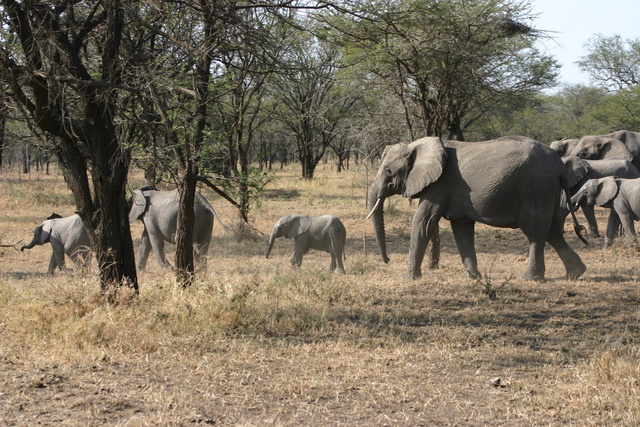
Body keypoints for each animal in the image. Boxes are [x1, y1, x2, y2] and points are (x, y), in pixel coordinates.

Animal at [368, 135, 588, 280]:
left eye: (388, 171)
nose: (387, 260)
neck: (415, 144)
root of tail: (559, 165)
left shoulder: (439, 185)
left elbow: (423, 222)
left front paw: (409, 279)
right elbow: (461, 229)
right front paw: (471, 278)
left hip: (535, 188)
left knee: (535, 231)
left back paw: (527, 278)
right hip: (548, 190)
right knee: (553, 231)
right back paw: (576, 273)